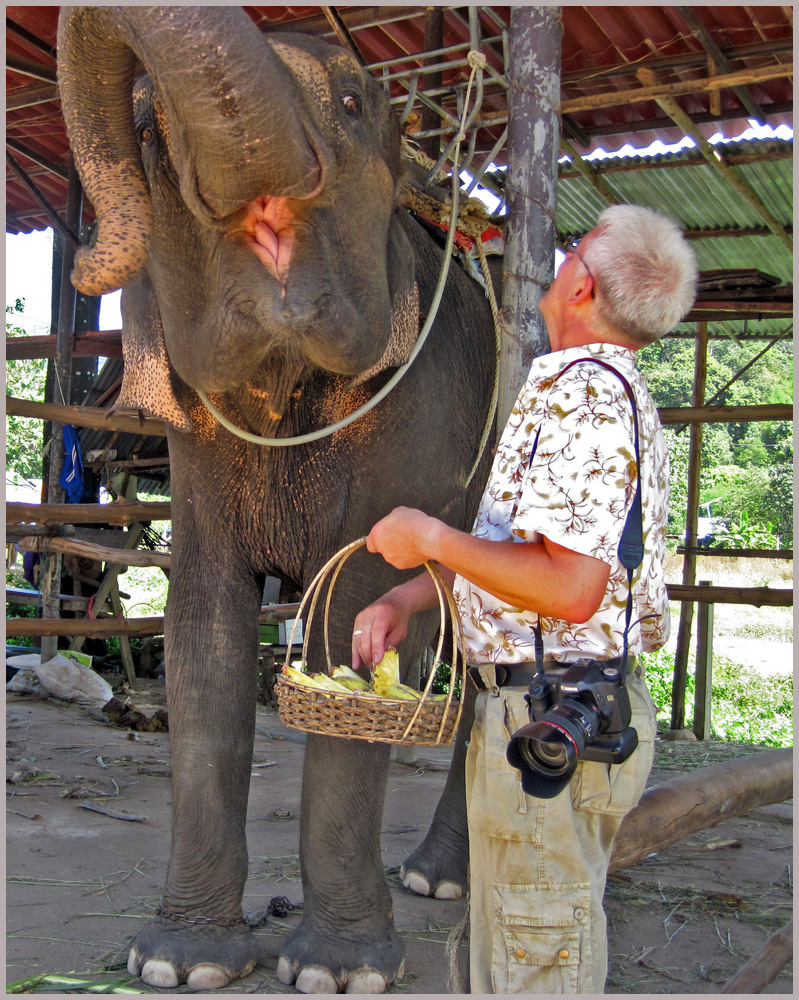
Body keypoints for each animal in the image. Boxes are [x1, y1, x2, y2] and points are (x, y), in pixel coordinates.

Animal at [56, 5, 496, 992]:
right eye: (148, 134)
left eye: (355, 105)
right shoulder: (197, 439)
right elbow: (201, 626)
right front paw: (176, 964)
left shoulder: (414, 399)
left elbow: (351, 608)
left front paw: (338, 974)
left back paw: (448, 884)